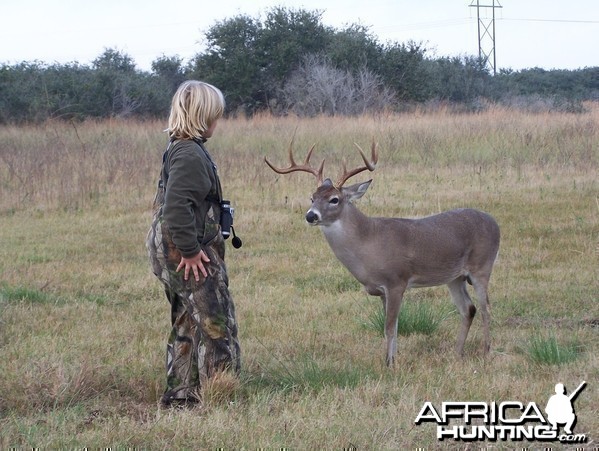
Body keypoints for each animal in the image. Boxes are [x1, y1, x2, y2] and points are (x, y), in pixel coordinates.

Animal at [268, 141, 502, 368]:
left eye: (334, 199)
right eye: (312, 197)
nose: (310, 215)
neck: (368, 244)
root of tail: (494, 222)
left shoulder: (397, 281)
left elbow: (390, 327)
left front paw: (390, 365)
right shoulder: (382, 290)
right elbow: (392, 326)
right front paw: (391, 360)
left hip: (482, 266)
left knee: (486, 308)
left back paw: (486, 352)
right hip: (454, 277)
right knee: (468, 309)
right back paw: (457, 353)